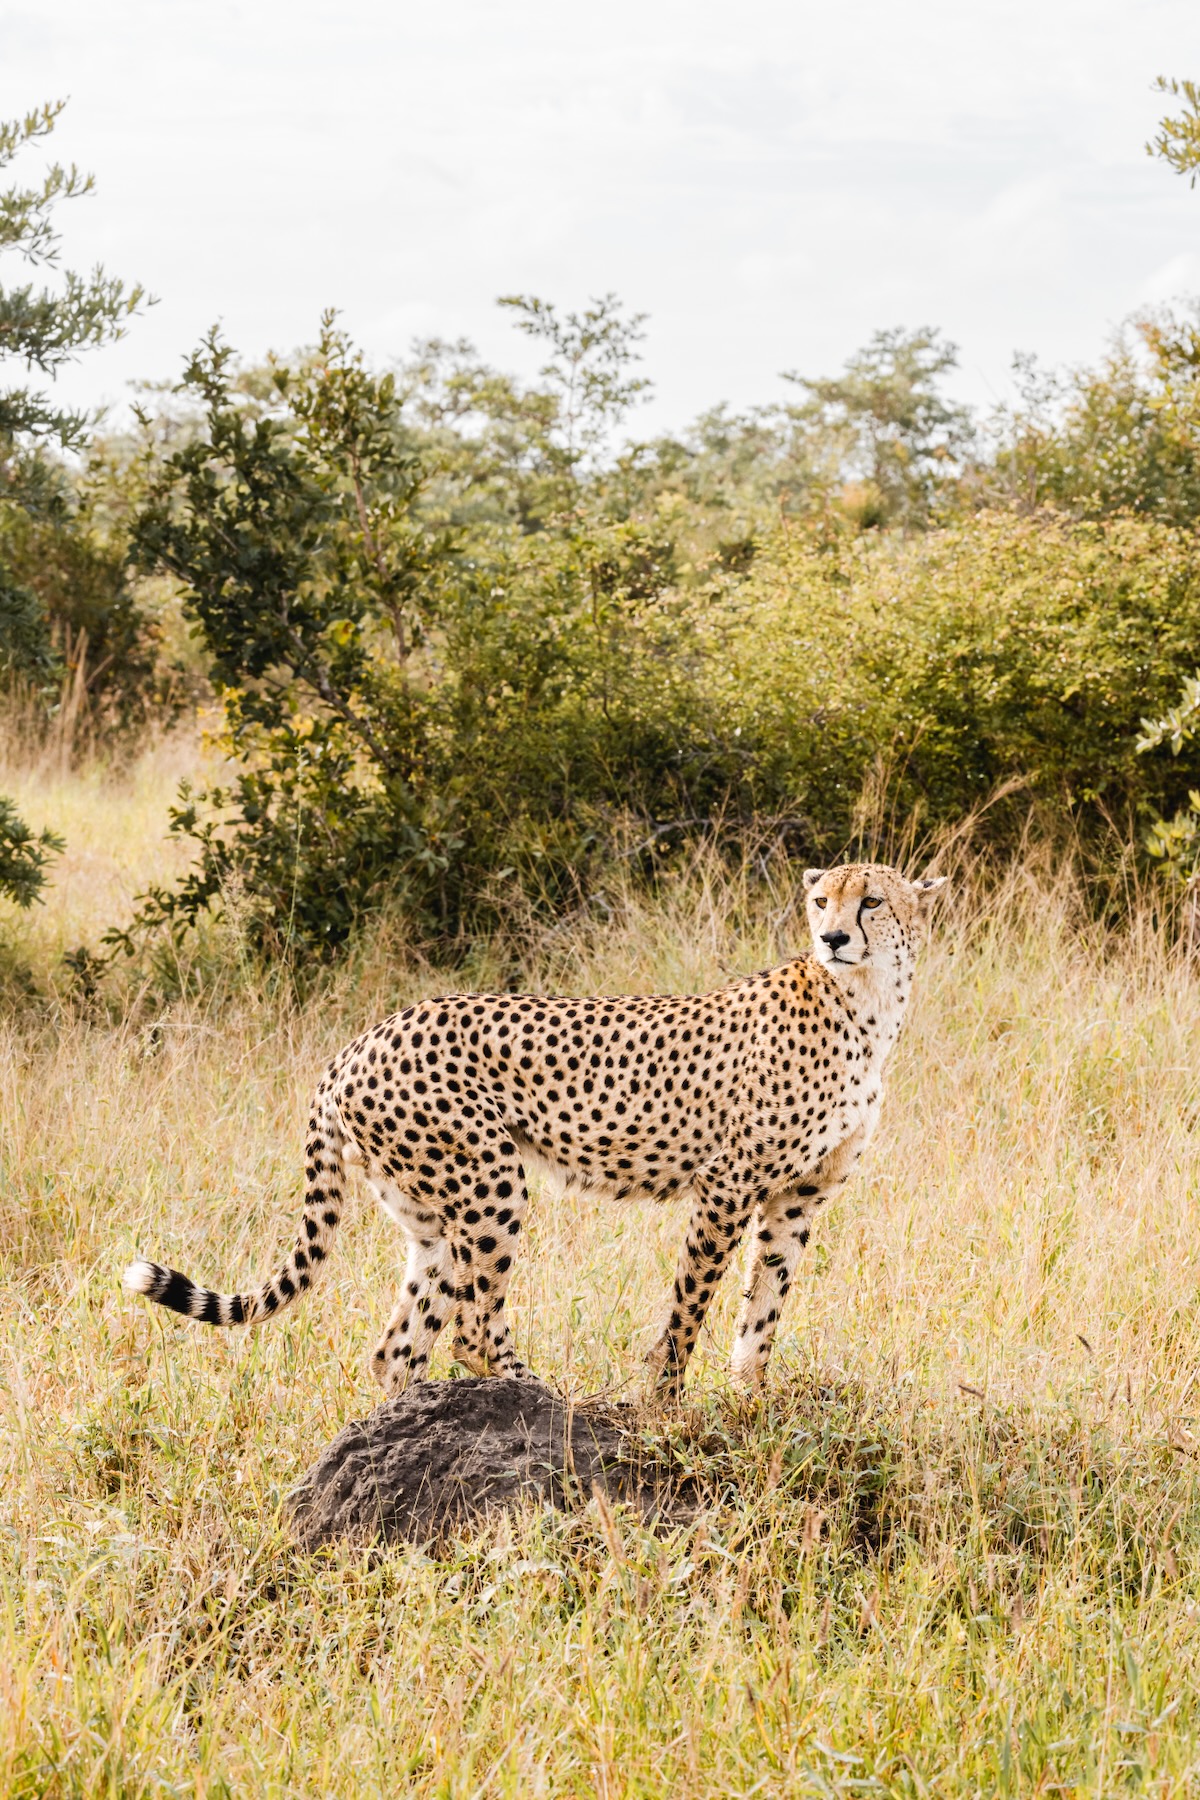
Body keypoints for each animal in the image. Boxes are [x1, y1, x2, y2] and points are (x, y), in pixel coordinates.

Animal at [124, 864, 949, 1396]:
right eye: (822, 900)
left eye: (873, 900)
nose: (834, 937)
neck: (866, 1004)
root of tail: (362, 1038)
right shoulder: (727, 1184)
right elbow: (692, 1303)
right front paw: (666, 1404)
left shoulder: (798, 1196)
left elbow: (764, 1306)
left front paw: (752, 1401)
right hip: (490, 1180)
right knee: (473, 1328)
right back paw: (547, 1397)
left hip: (431, 1213)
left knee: (400, 1346)